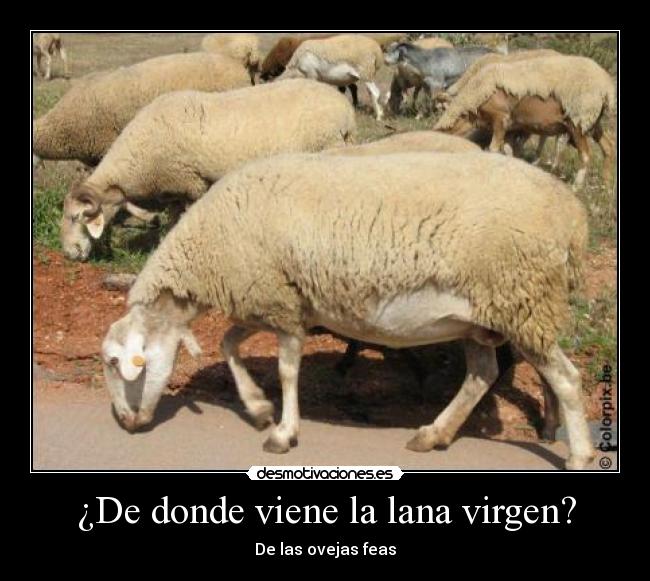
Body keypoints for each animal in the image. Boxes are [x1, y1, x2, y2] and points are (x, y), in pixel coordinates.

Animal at [61, 79, 356, 262]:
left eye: (76, 217)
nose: (69, 254)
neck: (138, 158)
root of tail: (345, 111)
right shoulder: (175, 189)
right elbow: (172, 220)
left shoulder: (191, 183)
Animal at [102, 151, 594, 470]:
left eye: (111, 362)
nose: (124, 423)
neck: (207, 251)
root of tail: (573, 217)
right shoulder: (274, 302)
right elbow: (227, 343)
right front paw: (259, 409)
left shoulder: (281, 306)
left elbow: (286, 371)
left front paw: (282, 433)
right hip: (480, 317)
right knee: (482, 374)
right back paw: (433, 435)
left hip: (524, 301)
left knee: (566, 379)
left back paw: (579, 455)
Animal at [435, 55, 616, 188]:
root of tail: (606, 86)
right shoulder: (512, 126)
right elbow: (509, 150)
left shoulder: (500, 119)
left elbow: (494, 149)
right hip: (593, 121)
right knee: (608, 147)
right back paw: (606, 184)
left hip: (578, 120)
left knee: (585, 155)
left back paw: (576, 186)